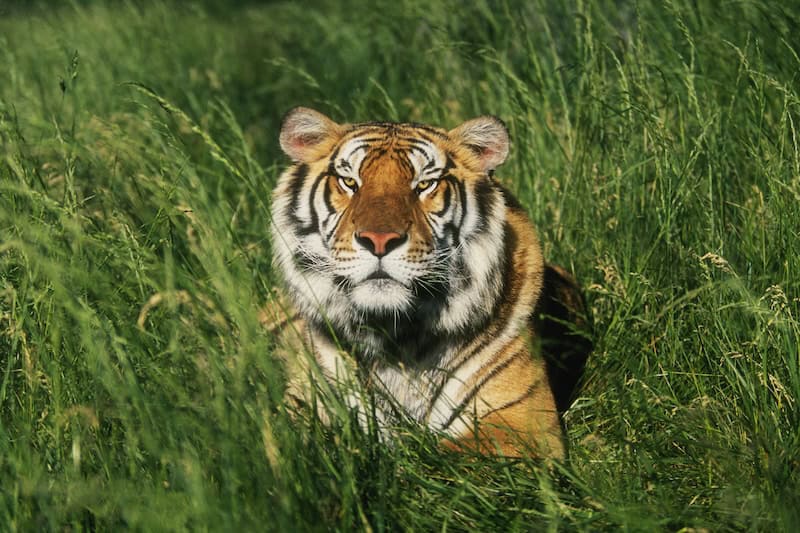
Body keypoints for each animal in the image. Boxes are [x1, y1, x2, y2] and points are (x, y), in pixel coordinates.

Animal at [265, 107, 590, 459]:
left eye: (424, 185)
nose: (379, 240)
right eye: (350, 182)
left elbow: (433, 458)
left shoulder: (522, 425)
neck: (395, 336)